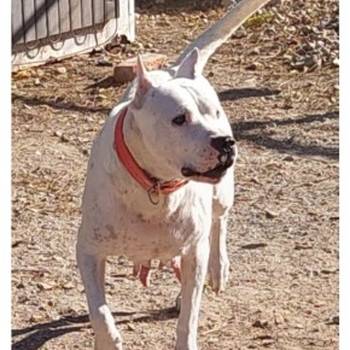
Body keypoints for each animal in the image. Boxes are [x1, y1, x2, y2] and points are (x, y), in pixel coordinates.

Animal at [76, 1, 268, 348]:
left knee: (219, 224)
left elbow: (188, 317)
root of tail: (176, 68)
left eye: (215, 112)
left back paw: (217, 270)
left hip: (221, 197)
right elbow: (99, 312)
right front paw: (107, 338)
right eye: (179, 119)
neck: (156, 188)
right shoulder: (88, 250)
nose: (225, 142)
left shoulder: (194, 252)